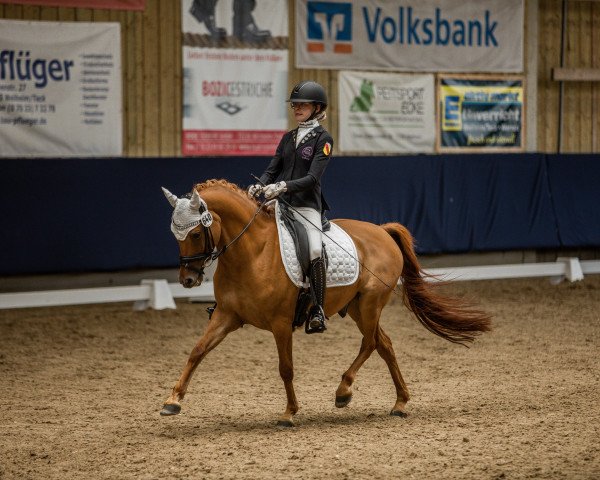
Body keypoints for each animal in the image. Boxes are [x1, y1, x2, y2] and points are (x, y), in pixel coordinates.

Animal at [161, 179, 492, 424]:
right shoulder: (227, 316)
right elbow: (197, 351)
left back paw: (344, 391)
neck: (252, 253)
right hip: (357, 307)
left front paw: (289, 413)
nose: (187, 280)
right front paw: (172, 400)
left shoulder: (281, 323)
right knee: (384, 344)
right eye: (174, 234)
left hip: (370, 303)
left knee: (371, 342)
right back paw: (399, 403)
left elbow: (286, 368)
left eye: (194, 233)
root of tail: (383, 231)